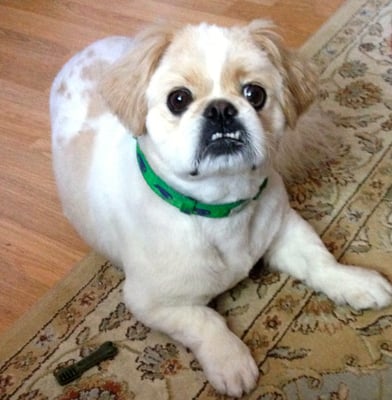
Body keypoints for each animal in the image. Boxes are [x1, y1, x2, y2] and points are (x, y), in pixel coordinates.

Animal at [50, 21, 392, 396]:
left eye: (255, 94)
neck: (220, 208)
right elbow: (206, 322)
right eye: (178, 99)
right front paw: (231, 363)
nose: (220, 109)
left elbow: (321, 262)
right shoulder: (151, 302)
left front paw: (354, 281)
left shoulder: (284, 228)